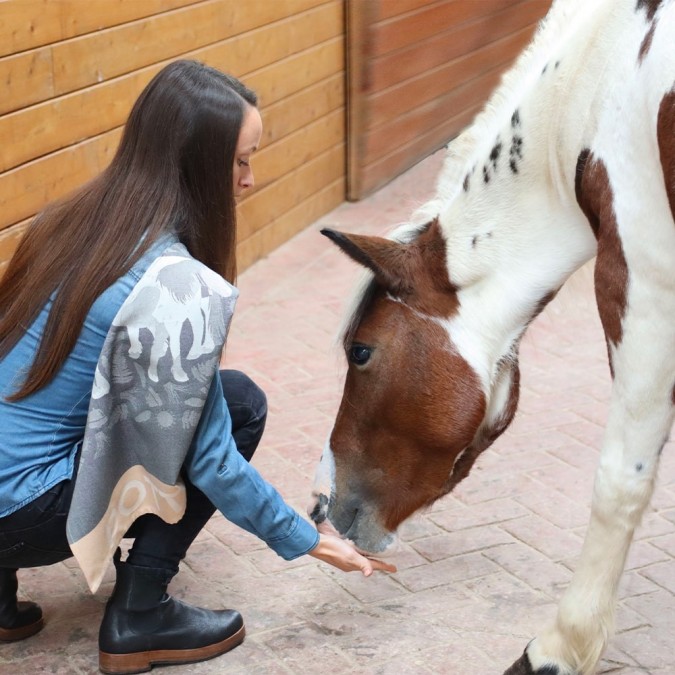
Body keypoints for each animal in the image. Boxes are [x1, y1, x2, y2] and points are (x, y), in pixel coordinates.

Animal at [308, 1, 672, 675]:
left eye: (360, 351)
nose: (323, 506)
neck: (605, 84)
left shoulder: (645, 282)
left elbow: (621, 481)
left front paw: (560, 646)